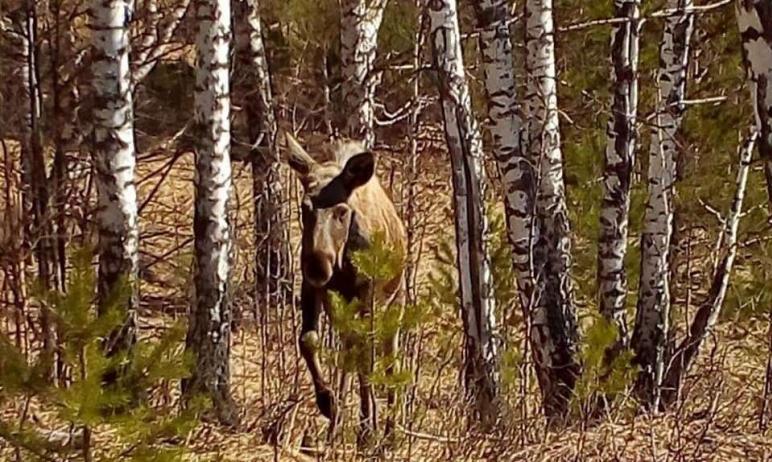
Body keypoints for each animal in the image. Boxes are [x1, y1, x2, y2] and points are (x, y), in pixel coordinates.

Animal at [280, 133, 408, 444]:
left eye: (341, 211)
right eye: (305, 207)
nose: (318, 264)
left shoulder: (368, 294)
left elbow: (368, 359)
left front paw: (368, 429)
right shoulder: (313, 287)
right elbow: (308, 339)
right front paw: (329, 403)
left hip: (395, 304)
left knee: (389, 361)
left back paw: (389, 432)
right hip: (342, 306)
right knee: (350, 350)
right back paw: (337, 425)